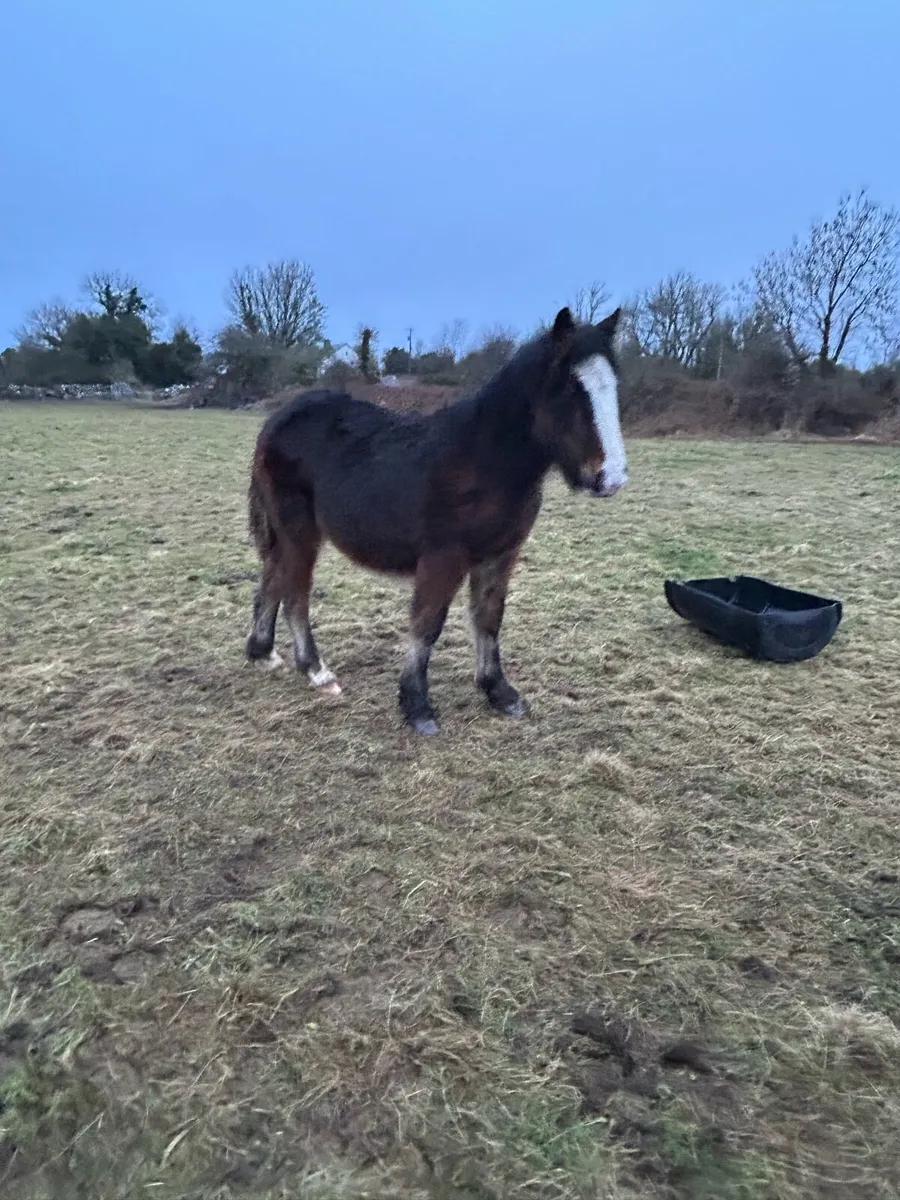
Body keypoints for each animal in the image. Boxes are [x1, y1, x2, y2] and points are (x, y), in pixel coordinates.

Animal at [245, 304, 628, 735]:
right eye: (569, 390)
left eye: (612, 385)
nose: (611, 477)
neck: (485, 462)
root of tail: (279, 417)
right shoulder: (444, 557)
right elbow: (427, 625)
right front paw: (417, 705)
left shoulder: (500, 555)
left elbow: (489, 619)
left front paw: (499, 691)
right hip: (299, 530)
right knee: (295, 591)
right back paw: (315, 670)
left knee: (273, 576)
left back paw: (262, 652)